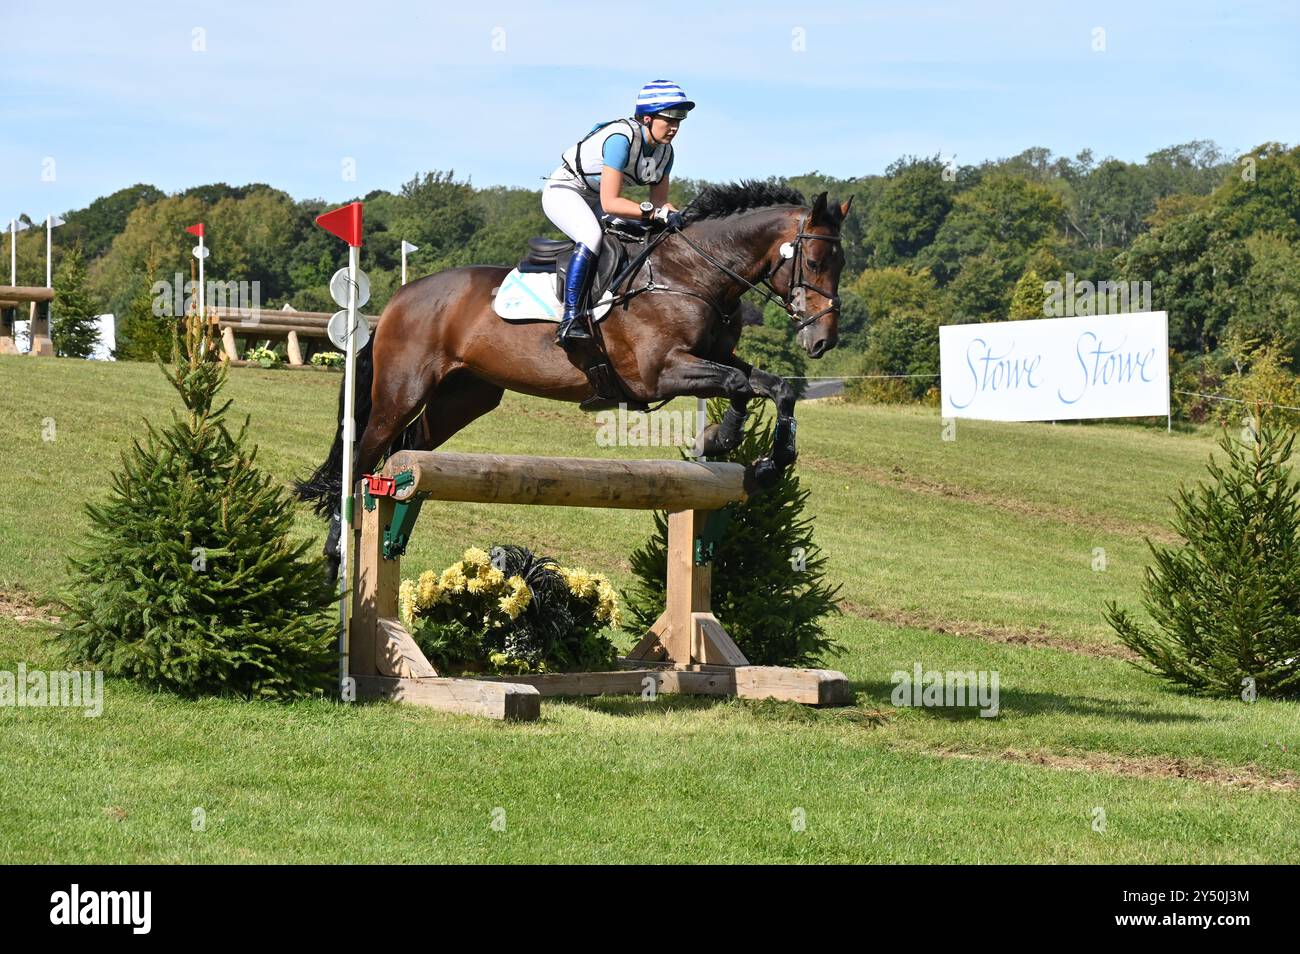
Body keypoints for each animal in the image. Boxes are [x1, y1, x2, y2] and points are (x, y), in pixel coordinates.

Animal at [295, 180, 853, 583]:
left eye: (842, 263)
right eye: (816, 261)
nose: (822, 341)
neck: (691, 273)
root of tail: (400, 298)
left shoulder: (711, 357)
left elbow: (771, 385)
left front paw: (760, 459)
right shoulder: (661, 372)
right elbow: (738, 383)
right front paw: (729, 441)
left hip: (464, 397)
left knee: (404, 453)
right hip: (400, 393)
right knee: (362, 458)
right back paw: (335, 558)